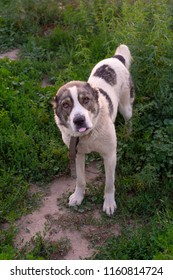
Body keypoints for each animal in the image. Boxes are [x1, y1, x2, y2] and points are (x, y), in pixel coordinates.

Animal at [52, 43, 135, 215]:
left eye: (86, 100)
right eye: (66, 105)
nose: (79, 120)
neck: (88, 135)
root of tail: (115, 58)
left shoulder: (110, 155)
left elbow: (109, 183)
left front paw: (109, 203)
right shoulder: (77, 155)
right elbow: (80, 180)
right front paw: (78, 197)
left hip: (126, 107)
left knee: (128, 119)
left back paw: (128, 134)